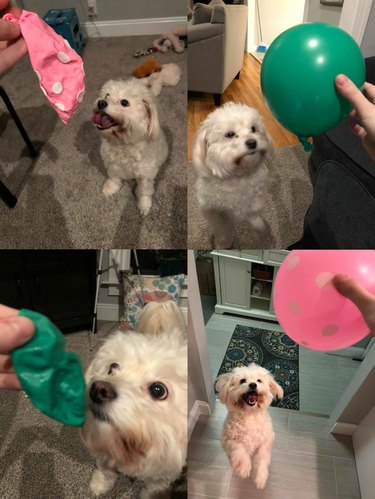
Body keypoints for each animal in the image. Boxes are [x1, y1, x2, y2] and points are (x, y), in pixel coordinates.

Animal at [82, 300, 188, 499]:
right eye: (112, 367)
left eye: (158, 390)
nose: (99, 389)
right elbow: (105, 469)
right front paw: (100, 484)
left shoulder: (163, 476)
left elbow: (153, 490)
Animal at [92, 79, 168, 216]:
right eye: (107, 95)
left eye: (124, 102)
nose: (101, 103)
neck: (123, 142)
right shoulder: (113, 165)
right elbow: (114, 178)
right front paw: (110, 188)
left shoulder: (145, 175)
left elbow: (144, 191)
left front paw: (144, 205)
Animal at [194, 102, 270, 249]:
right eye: (230, 134)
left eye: (253, 129)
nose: (252, 142)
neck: (237, 176)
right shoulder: (212, 210)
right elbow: (222, 228)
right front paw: (223, 243)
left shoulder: (256, 194)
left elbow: (254, 209)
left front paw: (258, 223)